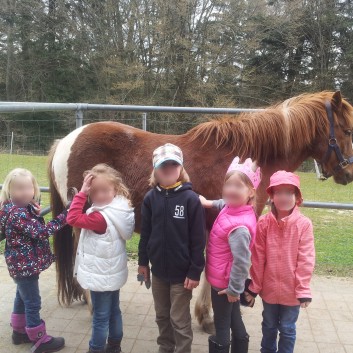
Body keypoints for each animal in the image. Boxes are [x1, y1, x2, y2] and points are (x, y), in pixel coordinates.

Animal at [48, 89, 352, 332]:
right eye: (348, 130)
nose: (348, 173)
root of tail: (65, 141)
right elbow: (212, 267)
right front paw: (207, 317)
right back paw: (91, 304)